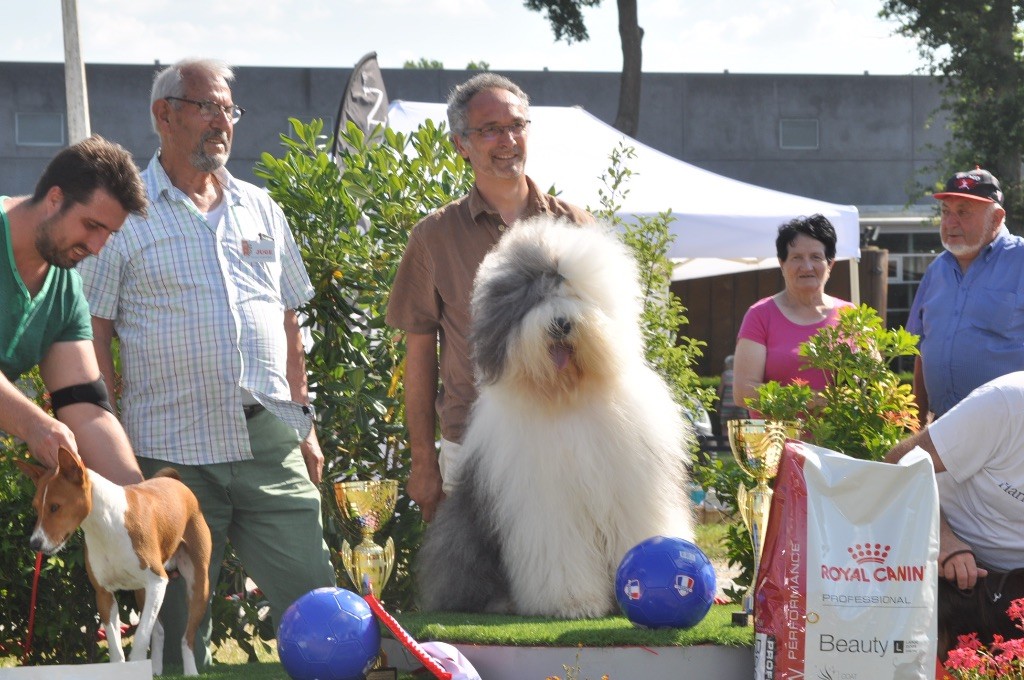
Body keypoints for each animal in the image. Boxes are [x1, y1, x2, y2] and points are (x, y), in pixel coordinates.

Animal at [16, 446, 211, 675]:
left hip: (197, 586)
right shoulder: (104, 594)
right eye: (36, 508)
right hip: (142, 592)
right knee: (160, 630)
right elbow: (116, 648)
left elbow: (140, 638)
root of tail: (177, 483)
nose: (35, 544)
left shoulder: (158, 581)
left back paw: (190, 671)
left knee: (186, 638)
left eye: (55, 507)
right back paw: (155, 669)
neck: (106, 527)